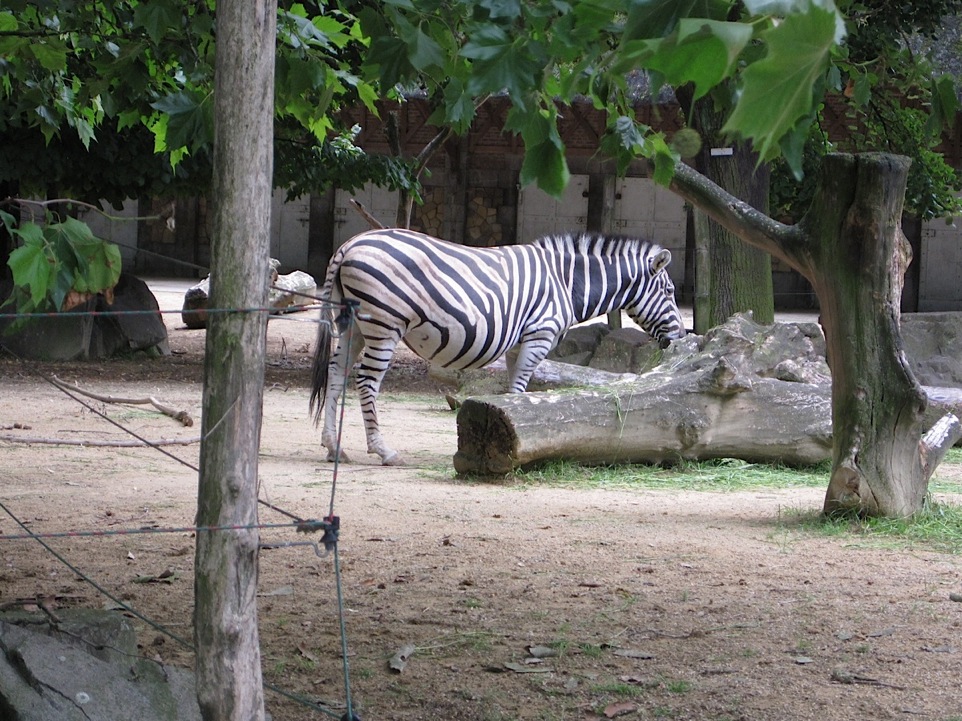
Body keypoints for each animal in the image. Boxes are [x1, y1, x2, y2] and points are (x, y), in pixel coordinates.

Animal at [310, 228, 686, 465]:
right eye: (669, 292)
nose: (681, 338)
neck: (567, 283)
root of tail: (350, 244)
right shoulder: (540, 334)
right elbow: (520, 388)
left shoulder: (519, 343)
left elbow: (513, 389)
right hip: (384, 324)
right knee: (366, 381)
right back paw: (383, 450)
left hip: (352, 325)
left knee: (336, 373)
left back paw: (332, 447)